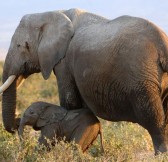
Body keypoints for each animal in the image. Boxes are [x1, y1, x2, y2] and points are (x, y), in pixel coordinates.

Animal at [0, 8, 168, 154]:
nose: (17, 120)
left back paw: (160, 155)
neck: (54, 12)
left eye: (22, 46)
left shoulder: (64, 63)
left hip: (142, 79)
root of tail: (163, 43)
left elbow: (69, 101)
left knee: (154, 120)